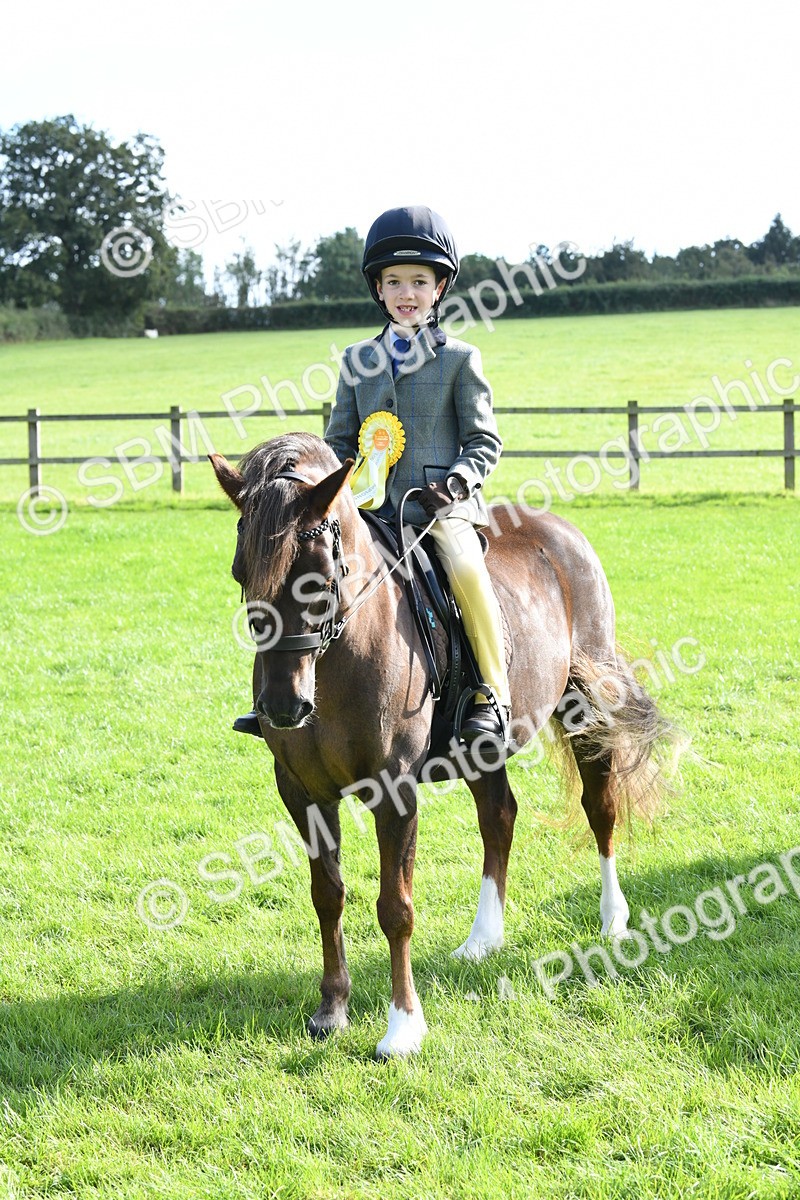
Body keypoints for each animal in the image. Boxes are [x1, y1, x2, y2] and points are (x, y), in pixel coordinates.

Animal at [210, 432, 675, 1058]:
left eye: (318, 576)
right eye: (242, 572)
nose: (283, 706)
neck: (339, 660)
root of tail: (562, 532)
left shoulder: (394, 792)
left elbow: (395, 907)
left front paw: (403, 1026)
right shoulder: (303, 793)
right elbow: (327, 894)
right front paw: (332, 1009)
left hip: (585, 710)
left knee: (599, 808)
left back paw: (612, 918)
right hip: (483, 748)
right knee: (499, 816)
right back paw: (483, 939)